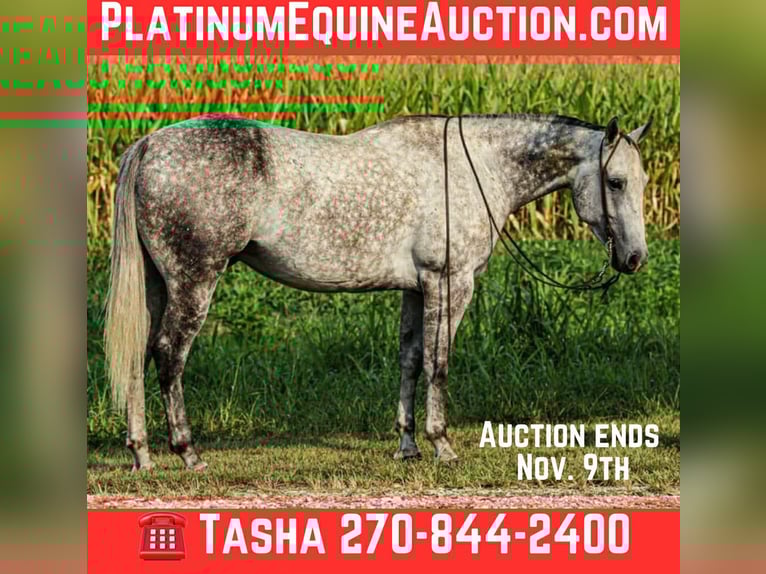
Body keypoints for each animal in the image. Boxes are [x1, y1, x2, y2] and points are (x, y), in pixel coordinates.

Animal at [105, 112, 652, 470]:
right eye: (616, 181)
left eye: (643, 182)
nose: (634, 259)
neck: (476, 167)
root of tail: (149, 144)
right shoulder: (450, 284)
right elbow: (439, 363)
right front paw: (441, 444)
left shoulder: (416, 289)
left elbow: (409, 360)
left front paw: (408, 446)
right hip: (194, 281)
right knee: (168, 355)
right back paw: (187, 452)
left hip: (157, 286)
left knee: (136, 355)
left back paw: (142, 454)